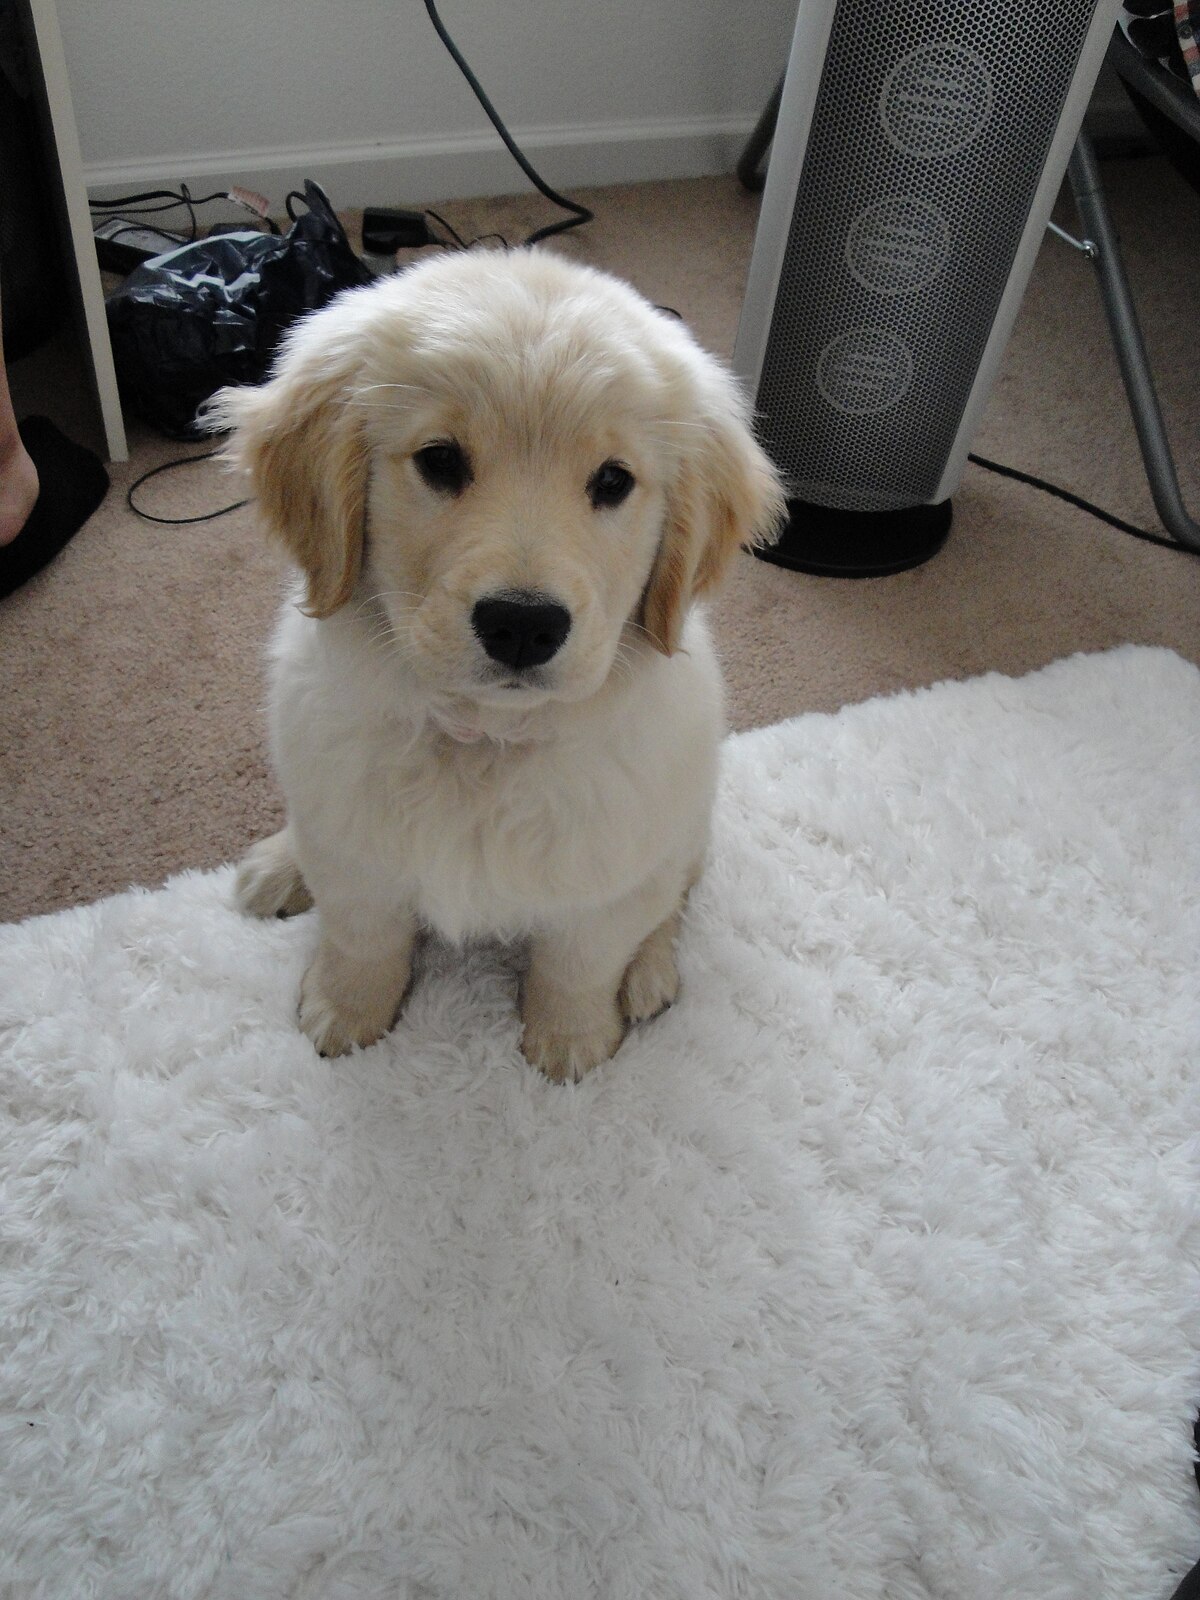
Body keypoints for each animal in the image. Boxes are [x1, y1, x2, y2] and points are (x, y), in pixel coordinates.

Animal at [212, 246, 784, 1075]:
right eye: (440, 461)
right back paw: (279, 867)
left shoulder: (609, 873)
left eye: (613, 480)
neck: (485, 742)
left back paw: (651, 974)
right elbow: (361, 939)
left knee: (673, 895)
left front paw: (570, 1044)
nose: (522, 625)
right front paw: (347, 1013)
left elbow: (581, 962)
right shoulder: (356, 856)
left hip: (683, 821)